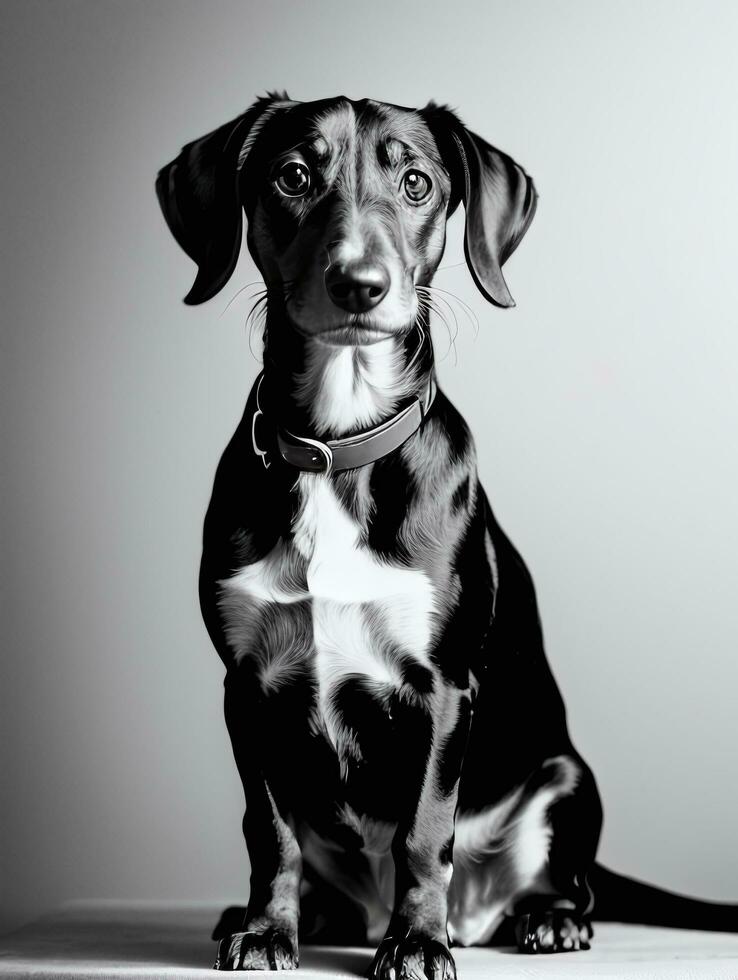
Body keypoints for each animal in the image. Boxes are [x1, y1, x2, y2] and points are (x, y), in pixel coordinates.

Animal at [157, 95, 736, 976]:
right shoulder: (246, 686)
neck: (338, 444)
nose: (359, 285)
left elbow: (425, 833)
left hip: (566, 779)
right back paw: (302, 914)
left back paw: (542, 918)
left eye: (416, 182)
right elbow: (269, 831)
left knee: (566, 883)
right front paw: (265, 929)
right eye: (292, 176)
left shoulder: (442, 687)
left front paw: (418, 941)